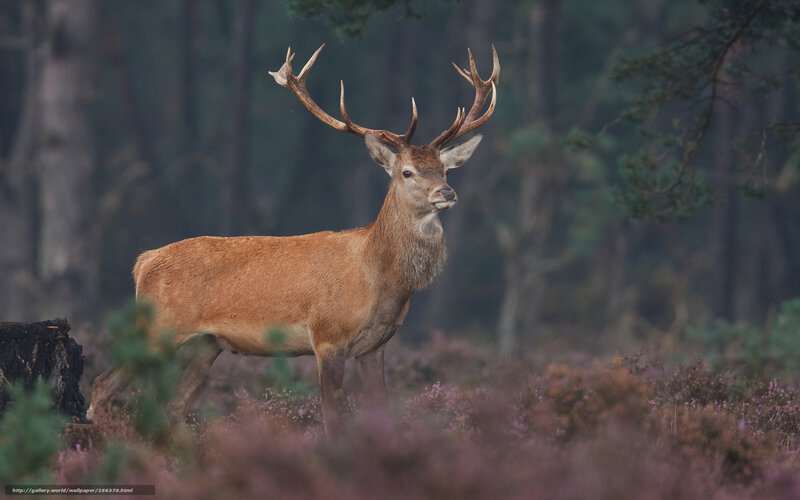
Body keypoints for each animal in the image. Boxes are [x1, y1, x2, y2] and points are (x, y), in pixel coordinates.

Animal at [87, 44, 499, 434]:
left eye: (445, 169)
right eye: (408, 172)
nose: (447, 193)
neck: (381, 278)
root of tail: (143, 262)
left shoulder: (376, 347)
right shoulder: (328, 336)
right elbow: (333, 421)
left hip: (205, 343)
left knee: (171, 407)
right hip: (159, 326)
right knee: (102, 384)